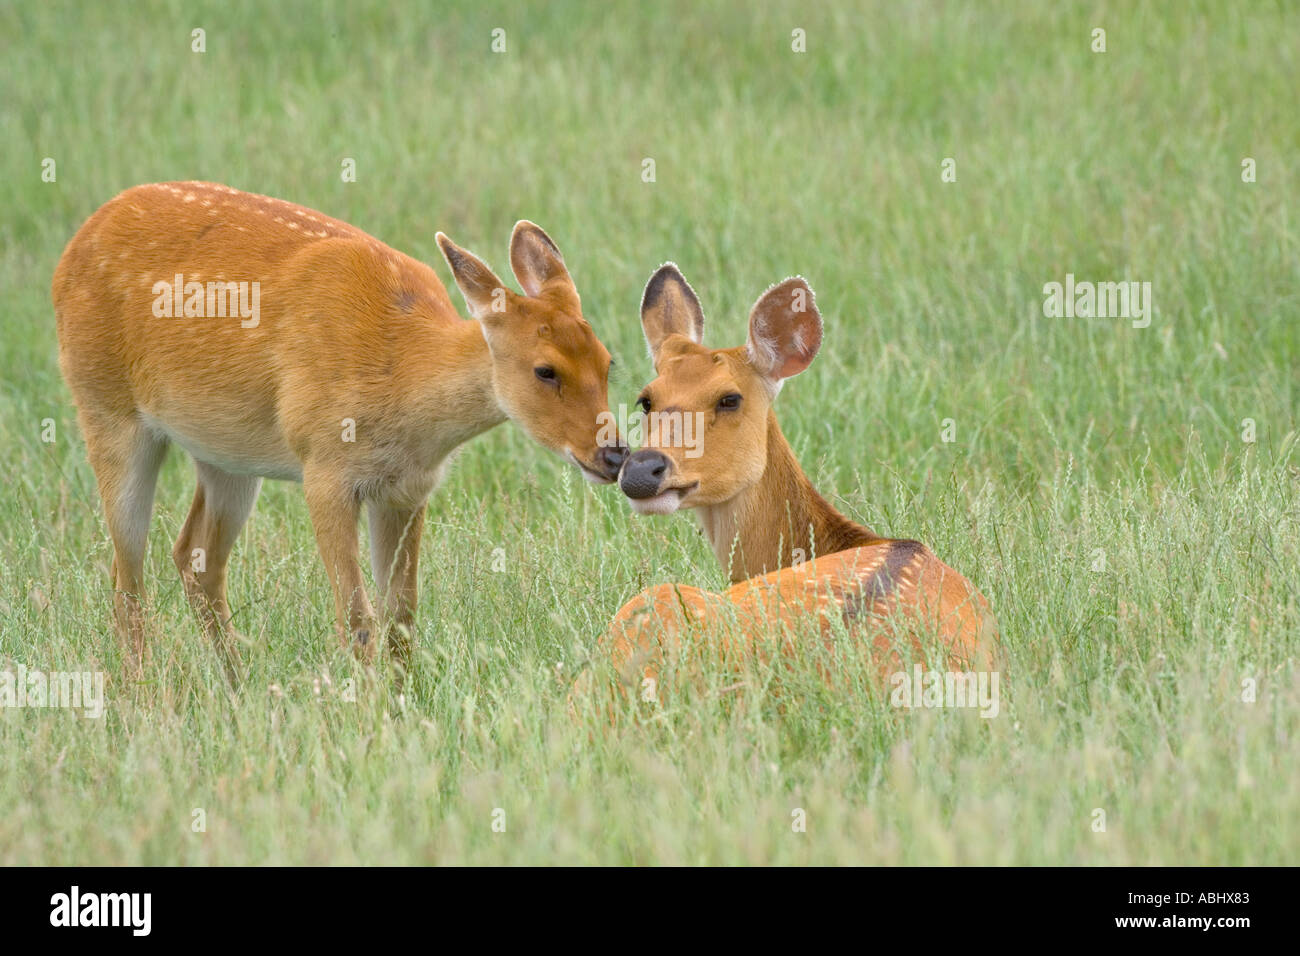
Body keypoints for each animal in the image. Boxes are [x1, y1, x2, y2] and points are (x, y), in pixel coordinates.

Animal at [49, 178, 618, 671]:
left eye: (608, 361)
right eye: (545, 370)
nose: (612, 455)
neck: (403, 372)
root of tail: (69, 254)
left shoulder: (406, 490)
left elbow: (401, 615)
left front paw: (402, 697)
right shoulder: (324, 467)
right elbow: (357, 617)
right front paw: (367, 710)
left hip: (225, 456)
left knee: (194, 557)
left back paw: (237, 681)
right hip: (105, 406)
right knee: (126, 575)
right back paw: (143, 690)